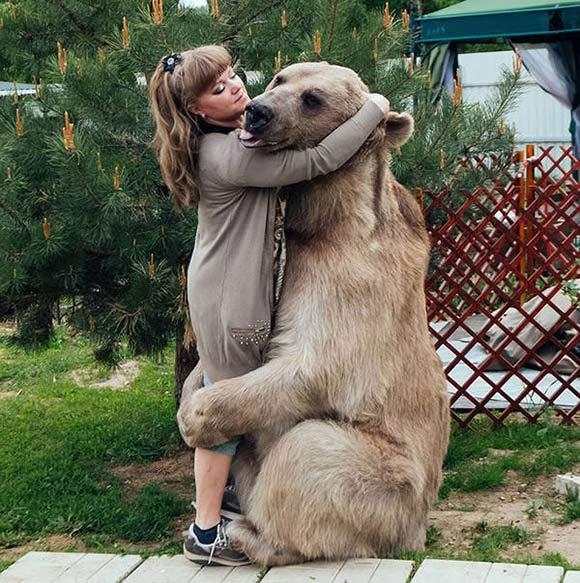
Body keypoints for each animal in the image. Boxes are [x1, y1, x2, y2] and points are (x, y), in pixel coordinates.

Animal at [177, 62, 448, 564]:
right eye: (280, 78)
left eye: (313, 99)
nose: (257, 111)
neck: (326, 220)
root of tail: (415, 531)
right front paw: (191, 391)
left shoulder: (355, 279)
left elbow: (315, 365)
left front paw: (194, 417)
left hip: (389, 481)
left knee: (307, 452)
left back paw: (246, 532)